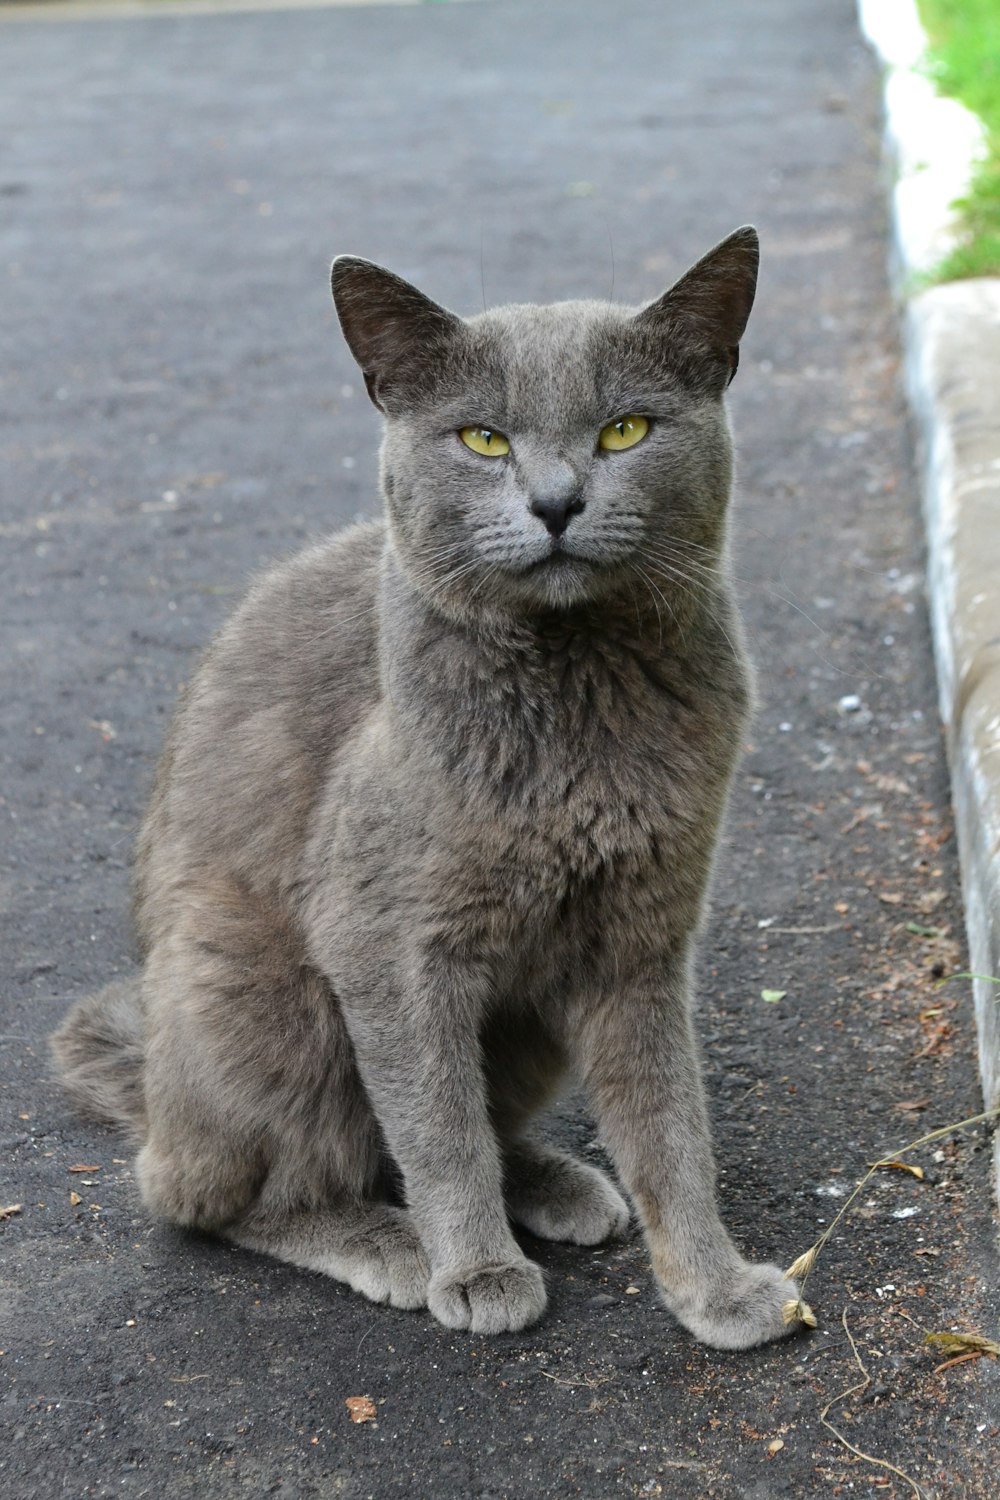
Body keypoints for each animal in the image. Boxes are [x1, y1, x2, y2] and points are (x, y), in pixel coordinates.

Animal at [56, 231, 803, 1350]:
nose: (555, 502)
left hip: (527, 1014)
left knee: (470, 1120)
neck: (577, 700)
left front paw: (715, 1288)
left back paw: (556, 1184)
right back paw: (394, 1244)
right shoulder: (385, 943)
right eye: (483, 439)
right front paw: (479, 1270)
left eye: (625, 429)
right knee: (216, 1194)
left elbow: (671, 1124)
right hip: (257, 987)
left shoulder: (643, 932)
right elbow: (435, 1124)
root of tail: (151, 1082)